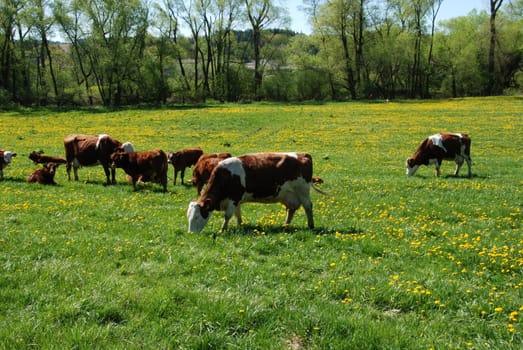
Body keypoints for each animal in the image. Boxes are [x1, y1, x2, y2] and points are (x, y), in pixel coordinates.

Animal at [186, 152, 322, 234]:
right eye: (188, 216)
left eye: (197, 216)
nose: (191, 233)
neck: (226, 176)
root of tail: (302, 154)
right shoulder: (236, 200)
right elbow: (238, 214)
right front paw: (240, 225)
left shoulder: (233, 199)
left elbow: (227, 216)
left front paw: (222, 229)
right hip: (289, 195)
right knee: (291, 209)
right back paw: (285, 225)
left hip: (303, 191)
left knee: (308, 207)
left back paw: (311, 225)